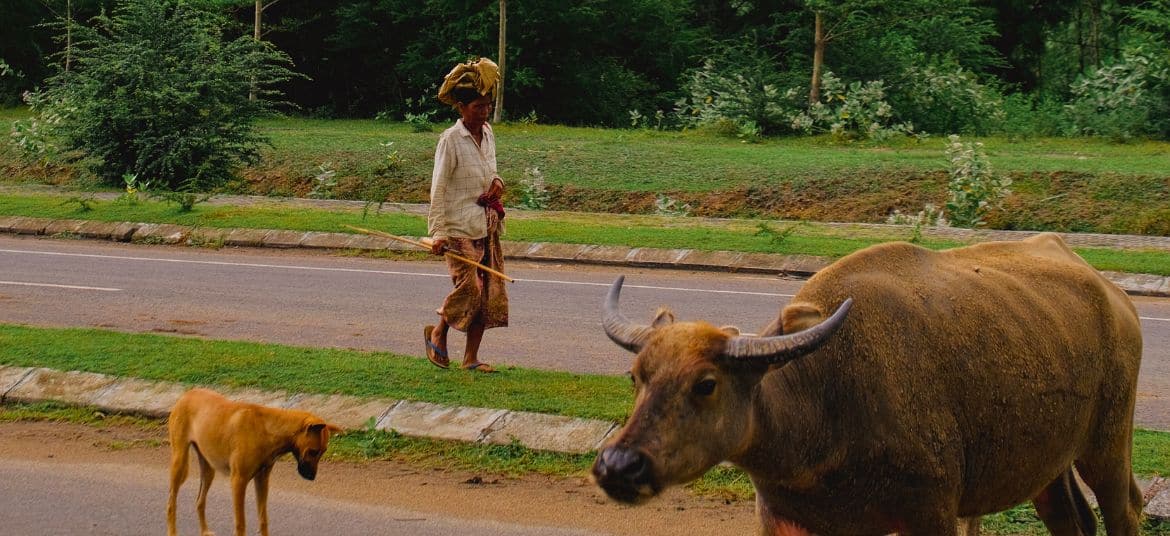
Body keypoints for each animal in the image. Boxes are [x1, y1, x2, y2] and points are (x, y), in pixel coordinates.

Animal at [593, 233, 1143, 536]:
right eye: (636, 376)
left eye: (706, 384)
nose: (618, 465)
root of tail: (1115, 296)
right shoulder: (786, 522)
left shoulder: (932, 514)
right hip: (1049, 462)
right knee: (1070, 521)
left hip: (1108, 443)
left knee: (1125, 512)